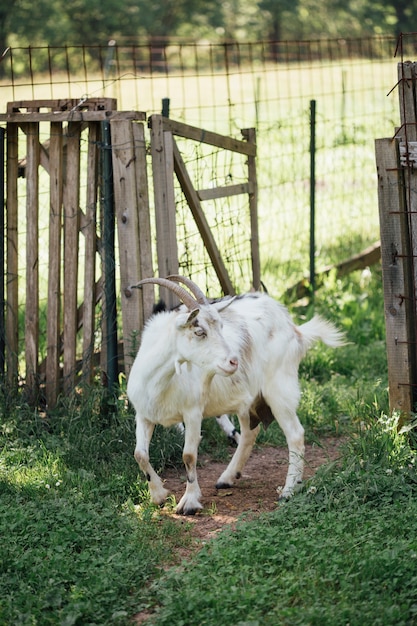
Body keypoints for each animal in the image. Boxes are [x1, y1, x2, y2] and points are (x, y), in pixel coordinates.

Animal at [127, 276, 344, 516]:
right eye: (199, 331)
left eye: (221, 326)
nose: (233, 361)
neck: (161, 381)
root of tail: (293, 327)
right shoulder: (144, 415)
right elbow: (140, 454)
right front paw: (158, 495)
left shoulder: (193, 412)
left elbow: (189, 455)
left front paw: (189, 503)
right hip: (247, 399)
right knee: (250, 433)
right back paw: (227, 478)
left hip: (279, 389)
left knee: (295, 434)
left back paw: (288, 491)